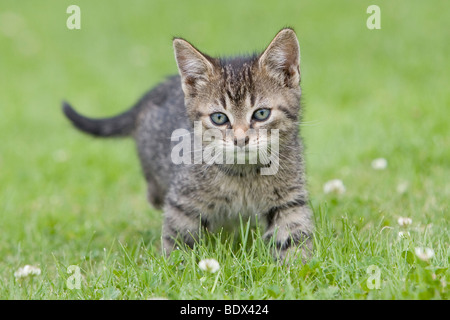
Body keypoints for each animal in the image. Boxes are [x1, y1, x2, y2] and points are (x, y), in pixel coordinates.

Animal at [64, 28, 312, 262]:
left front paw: (298, 266)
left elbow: (293, 235)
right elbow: (178, 240)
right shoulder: (183, 202)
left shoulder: (289, 199)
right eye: (219, 118)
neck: (245, 174)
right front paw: (176, 268)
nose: (240, 139)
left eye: (261, 114)